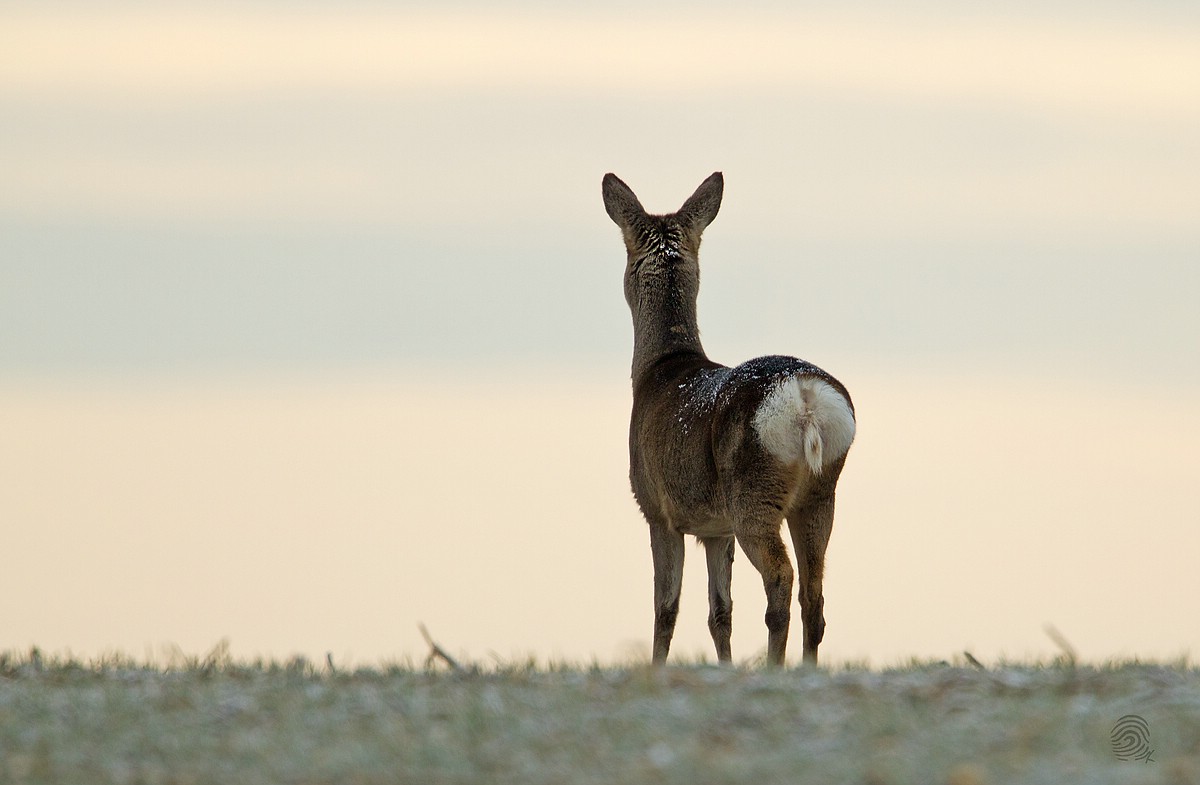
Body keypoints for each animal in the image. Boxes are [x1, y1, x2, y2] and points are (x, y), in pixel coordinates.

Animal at [600, 174, 854, 672]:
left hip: (752, 493)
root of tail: (805, 398)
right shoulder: (714, 529)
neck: (660, 368)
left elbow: (666, 608)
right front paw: (725, 666)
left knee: (782, 579)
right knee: (814, 595)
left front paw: (658, 668)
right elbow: (720, 613)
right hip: (819, 494)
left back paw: (774, 666)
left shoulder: (658, 509)